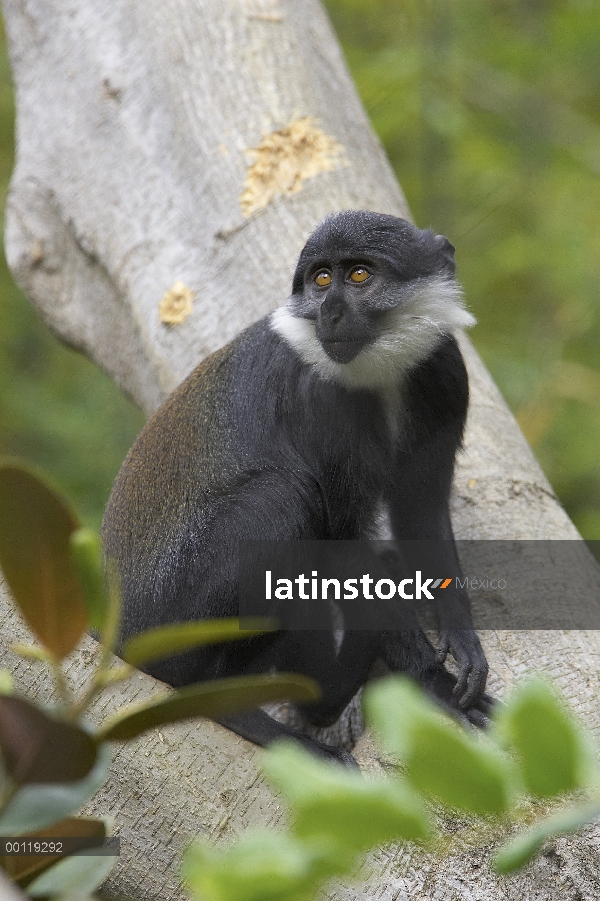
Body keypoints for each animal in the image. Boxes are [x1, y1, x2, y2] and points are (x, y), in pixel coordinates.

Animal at [101, 213, 490, 768]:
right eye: (320, 279)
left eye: (358, 275)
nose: (328, 311)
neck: (379, 374)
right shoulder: (319, 403)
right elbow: (346, 541)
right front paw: (433, 681)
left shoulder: (444, 370)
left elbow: (422, 510)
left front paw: (462, 642)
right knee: (283, 500)